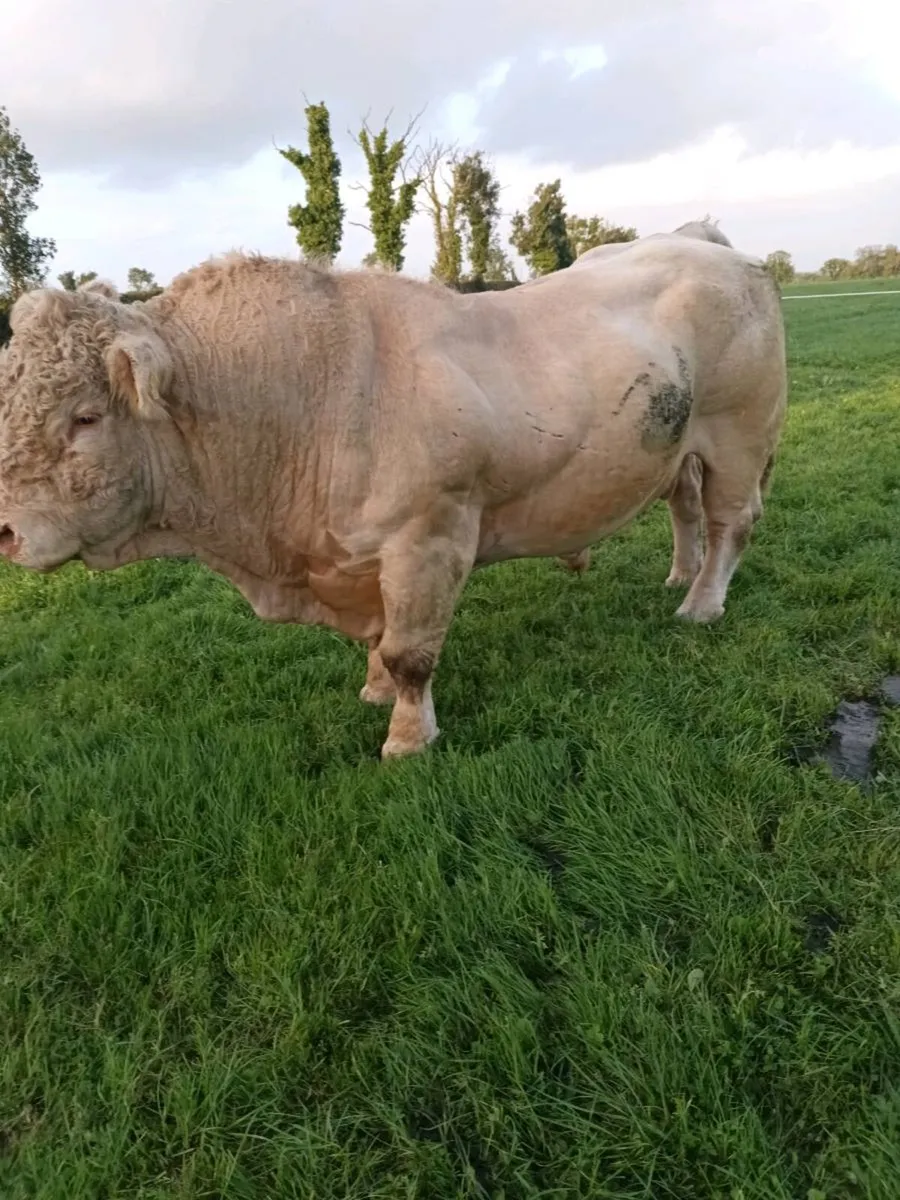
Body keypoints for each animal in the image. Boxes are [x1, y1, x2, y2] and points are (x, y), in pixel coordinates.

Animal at [0, 235, 786, 759]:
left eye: (85, 418)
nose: (4, 531)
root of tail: (718, 248)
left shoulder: (428, 536)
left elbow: (411, 650)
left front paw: (407, 738)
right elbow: (381, 642)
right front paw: (375, 688)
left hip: (739, 436)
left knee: (731, 521)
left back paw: (702, 604)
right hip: (678, 449)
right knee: (686, 507)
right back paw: (680, 574)